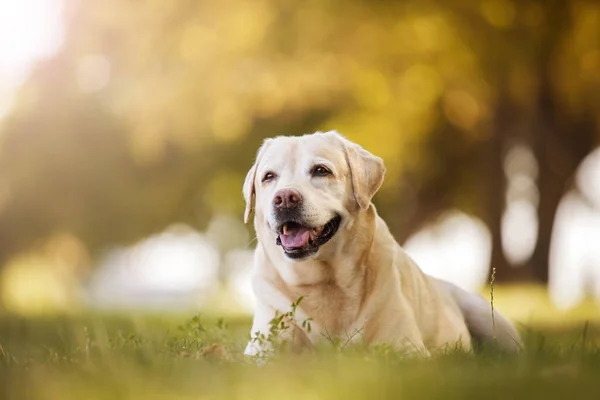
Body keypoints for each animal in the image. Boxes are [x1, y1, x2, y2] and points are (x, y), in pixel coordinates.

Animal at [241, 130, 524, 356]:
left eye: (321, 170)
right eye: (268, 177)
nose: (284, 198)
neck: (322, 282)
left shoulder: (408, 349)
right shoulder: (261, 351)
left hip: (488, 318)